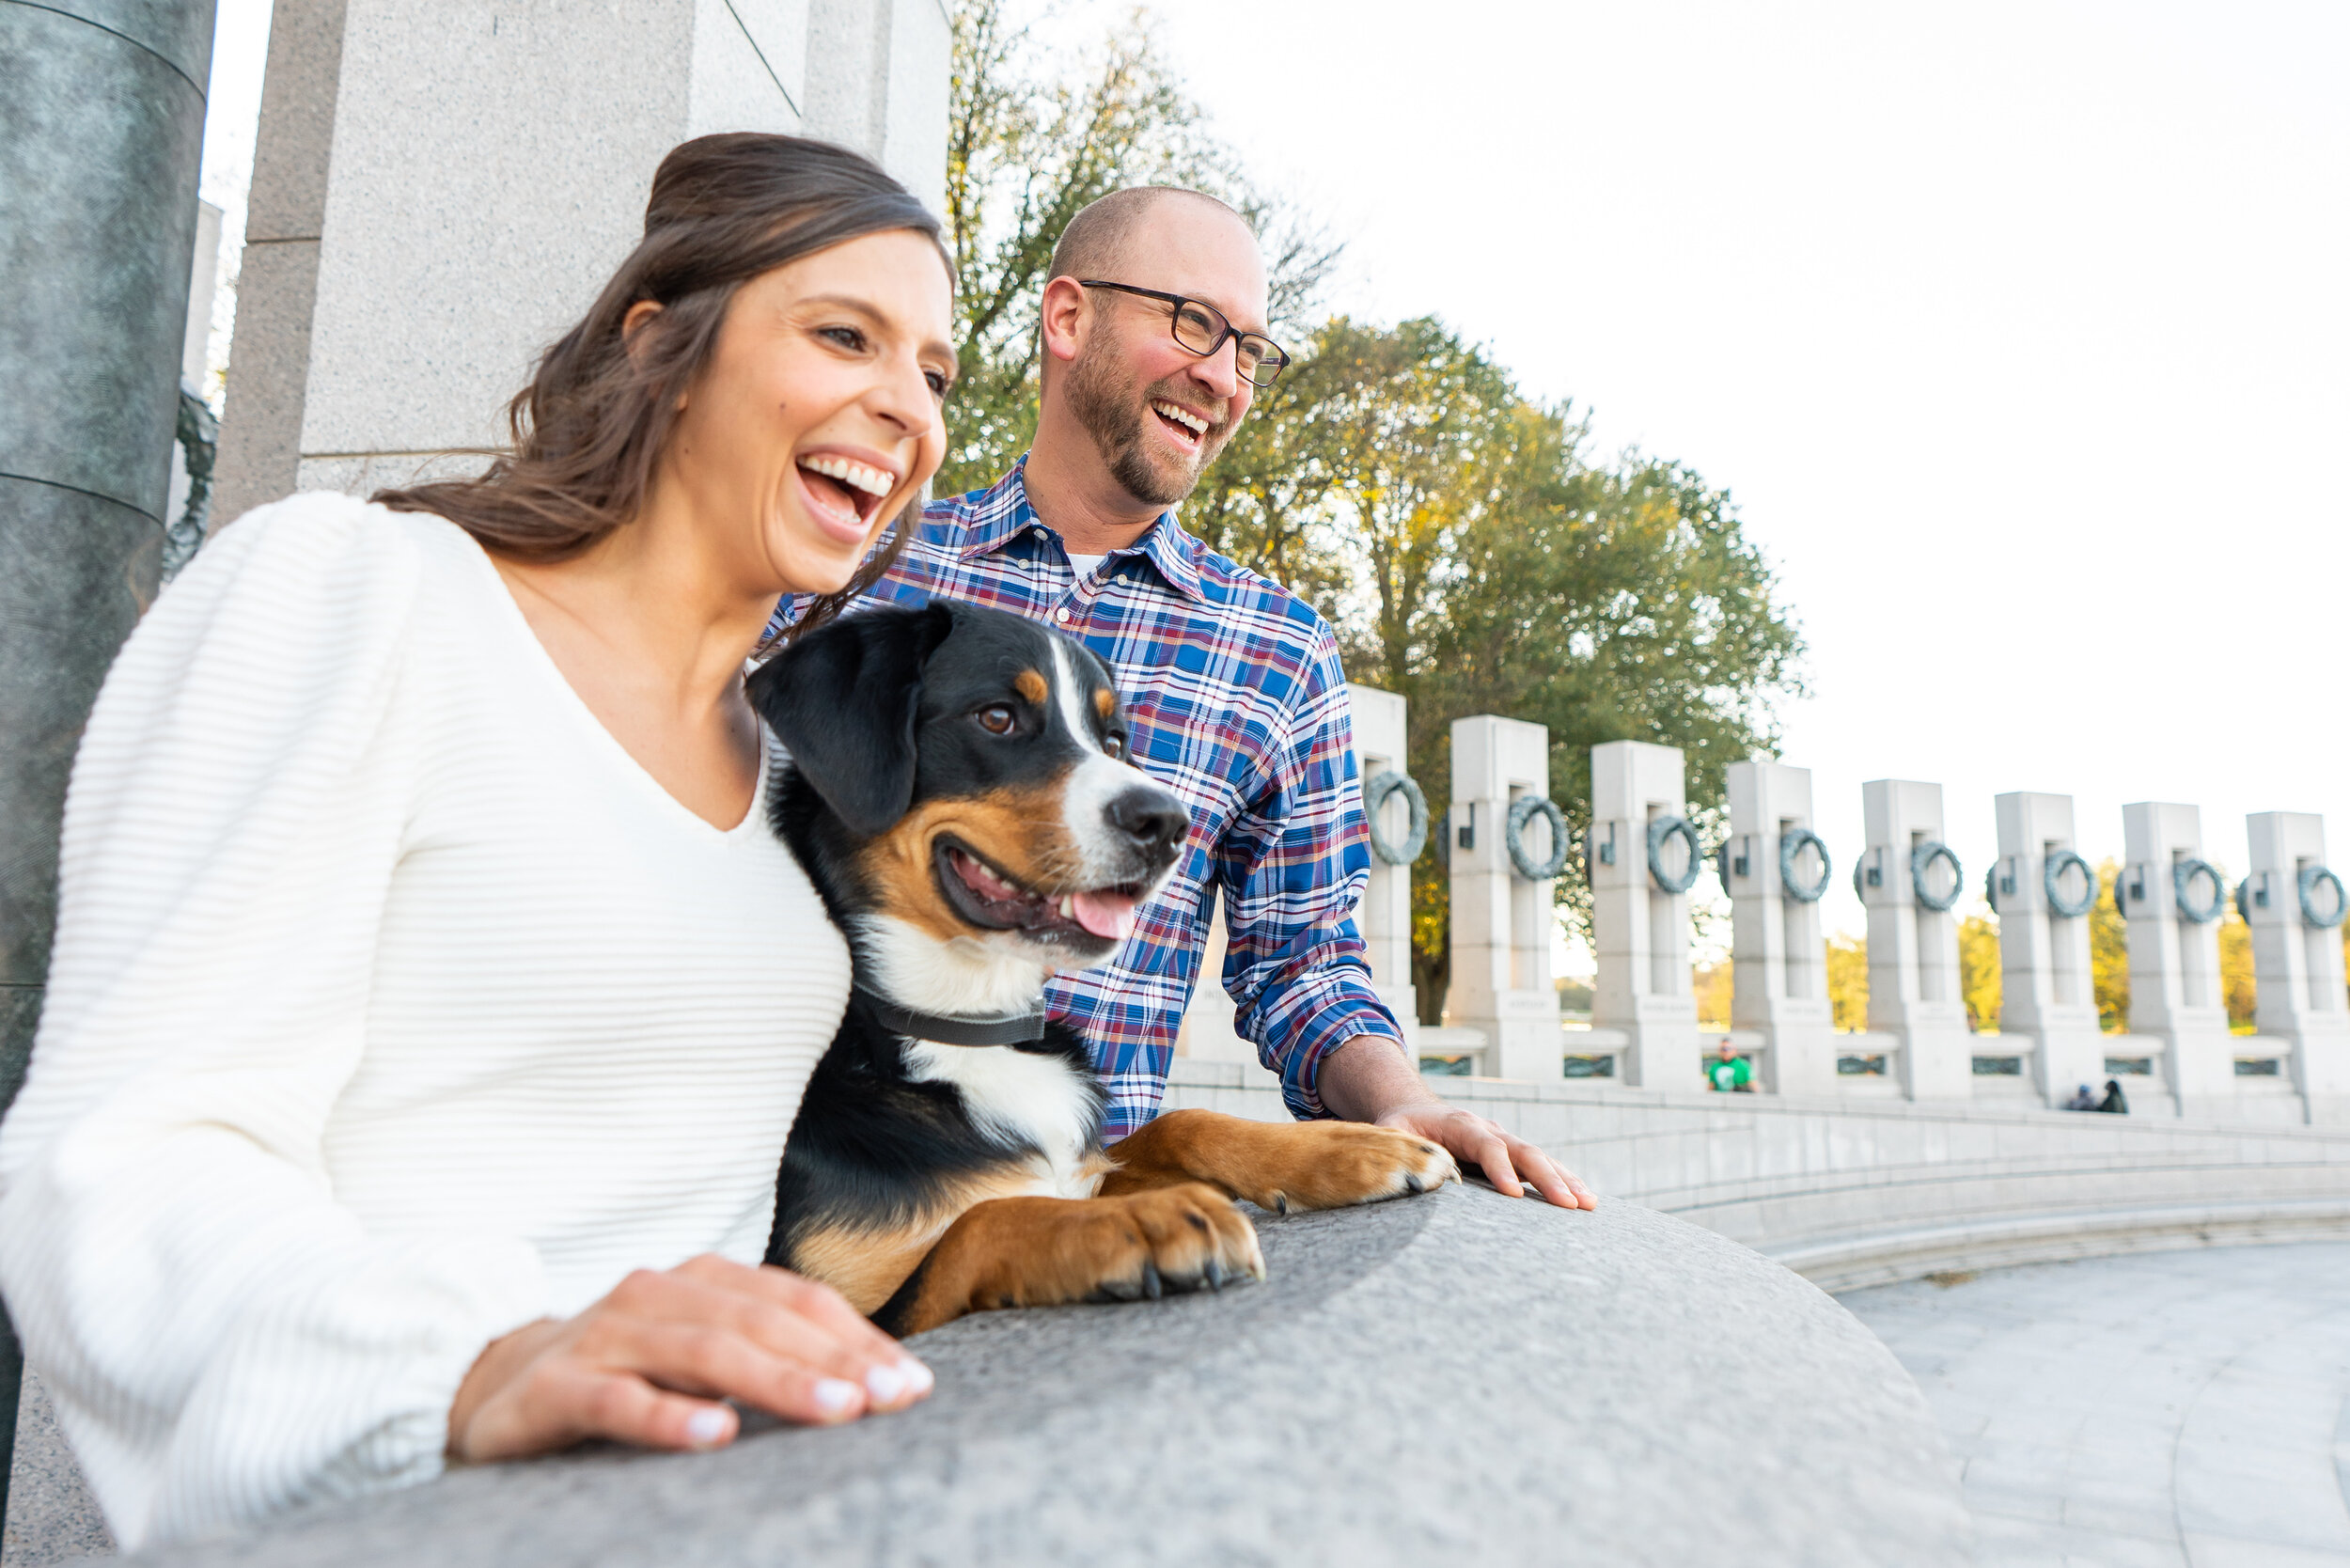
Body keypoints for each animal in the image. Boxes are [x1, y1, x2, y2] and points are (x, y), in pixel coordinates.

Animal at [747, 602, 1448, 1335]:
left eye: (1112, 742)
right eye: (996, 717)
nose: (1168, 823)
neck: (966, 1024)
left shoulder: (1094, 1169)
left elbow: (1181, 1123)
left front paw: (1357, 1149)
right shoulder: (837, 1314)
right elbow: (984, 1222)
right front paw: (1146, 1221)